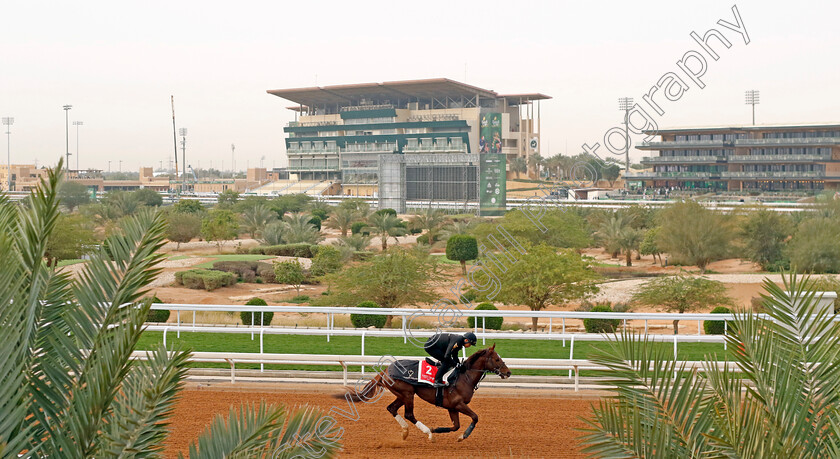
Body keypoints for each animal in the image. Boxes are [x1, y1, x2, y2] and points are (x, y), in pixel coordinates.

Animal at [342, 346, 512, 444]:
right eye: (497, 359)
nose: (508, 372)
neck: (464, 377)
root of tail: (385, 370)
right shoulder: (458, 404)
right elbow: (475, 417)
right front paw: (462, 436)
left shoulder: (452, 407)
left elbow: (455, 426)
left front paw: (439, 429)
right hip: (408, 393)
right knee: (409, 414)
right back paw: (428, 433)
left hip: (402, 394)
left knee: (392, 408)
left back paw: (406, 432)